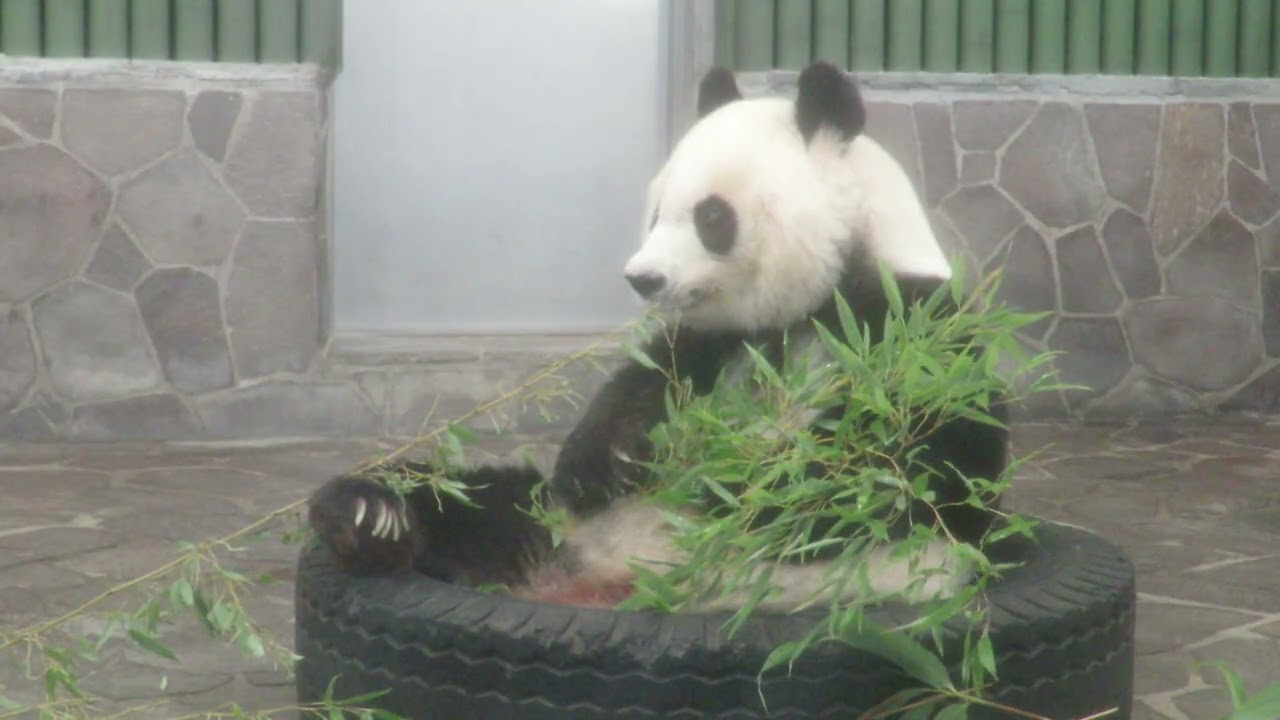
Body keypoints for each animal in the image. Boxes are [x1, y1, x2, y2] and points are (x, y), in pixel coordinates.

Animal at [307, 62, 1009, 612]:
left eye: (711, 217)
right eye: (655, 211)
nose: (642, 277)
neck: (836, 283)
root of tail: (604, 586)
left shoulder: (916, 335)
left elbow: (890, 474)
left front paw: (735, 478)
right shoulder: (710, 342)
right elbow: (638, 390)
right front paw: (611, 456)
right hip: (559, 525)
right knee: (472, 500)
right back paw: (369, 515)